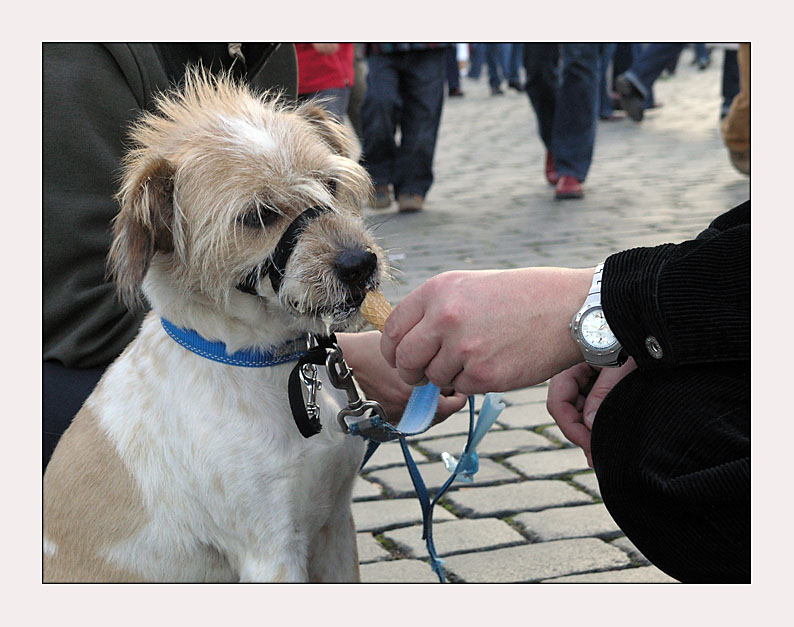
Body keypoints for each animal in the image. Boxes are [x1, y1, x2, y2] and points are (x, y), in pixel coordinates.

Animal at [43, 70, 386, 584]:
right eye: (259, 215)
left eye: (330, 183)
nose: (360, 264)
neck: (253, 361)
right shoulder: (271, 553)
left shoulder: (335, 527)